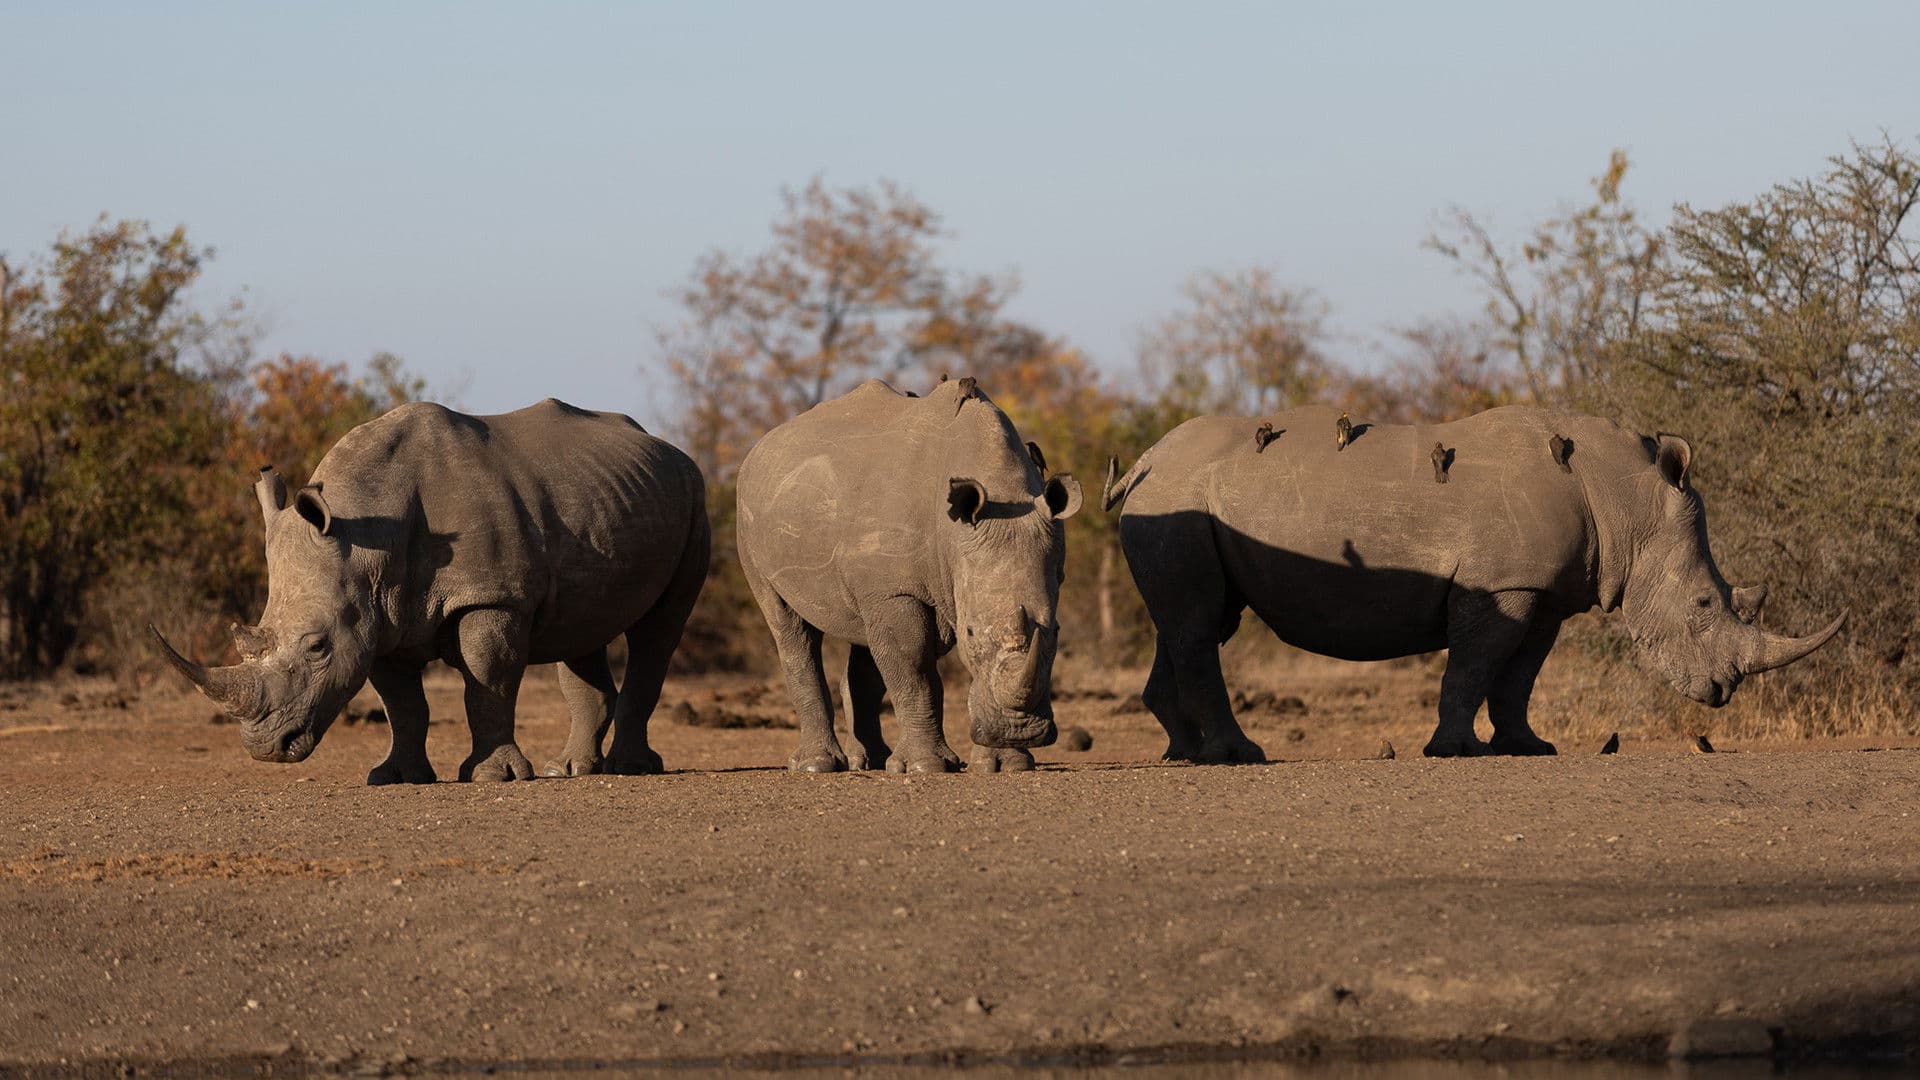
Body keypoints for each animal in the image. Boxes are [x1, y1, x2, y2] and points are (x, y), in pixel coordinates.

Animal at [152, 399, 709, 784]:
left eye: (317, 647)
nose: (265, 747)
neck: (368, 536)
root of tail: (669, 448)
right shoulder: (376, 615)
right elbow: (402, 704)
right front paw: (394, 777)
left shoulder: (491, 594)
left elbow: (488, 683)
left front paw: (494, 777)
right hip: (604, 502)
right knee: (581, 628)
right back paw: (570, 769)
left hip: (693, 494)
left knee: (659, 630)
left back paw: (628, 768)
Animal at [736, 378, 1083, 773]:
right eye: (969, 633)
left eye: (1056, 632)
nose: (1019, 730)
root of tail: (758, 447)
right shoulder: (898, 590)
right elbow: (914, 669)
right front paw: (926, 767)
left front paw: (1005, 763)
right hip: (749, 520)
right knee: (789, 626)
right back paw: (817, 766)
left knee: (864, 639)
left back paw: (872, 761)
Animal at [1105, 405, 1844, 760]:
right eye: (1703, 604)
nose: (1722, 693)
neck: (1628, 501)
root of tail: (1142, 460)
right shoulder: (1504, 584)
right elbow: (1474, 664)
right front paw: (1455, 751)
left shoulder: (1543, 593)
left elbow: (1519, 675)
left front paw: (1527, 747)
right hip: (1178, 497)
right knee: (1199, 622)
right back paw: (1238, 756)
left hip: (1184, 500)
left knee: (1196, 621)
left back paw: (1186, 753)